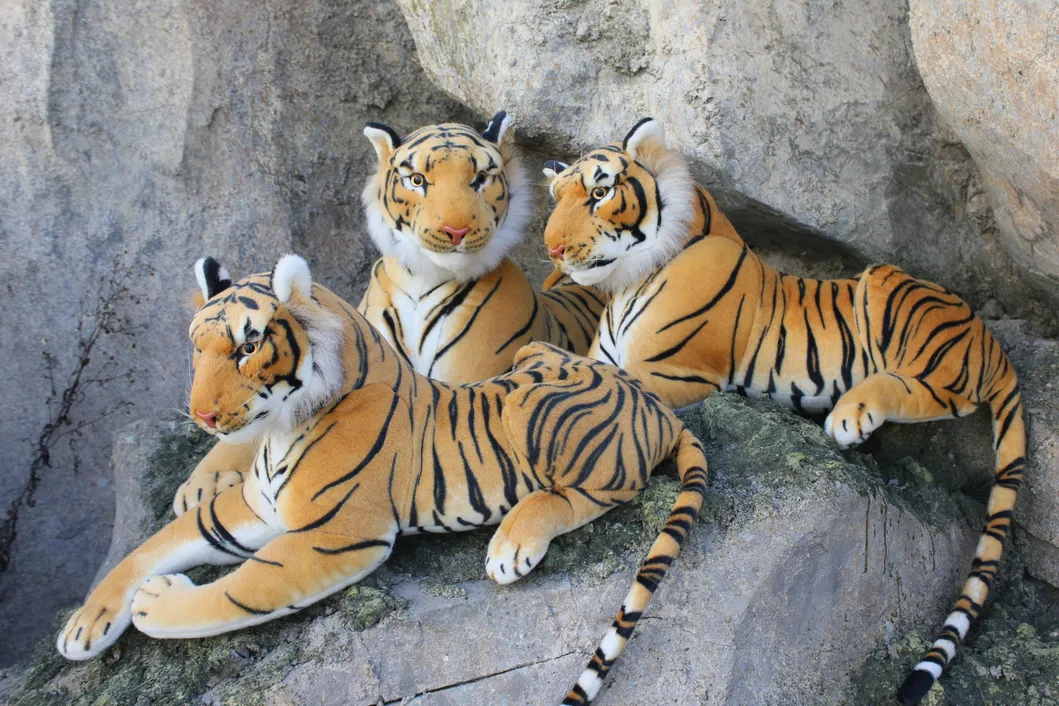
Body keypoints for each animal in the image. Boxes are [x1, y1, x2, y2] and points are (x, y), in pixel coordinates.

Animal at [56, 253, 708, 706]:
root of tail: (657, 405)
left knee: (586, 496)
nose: (202, 417)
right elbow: (154, 545)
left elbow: (235, 593)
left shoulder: (332, 538)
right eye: (197, 348)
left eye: (247, 347)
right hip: (535, 353)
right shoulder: (249, 510)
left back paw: (511, 547)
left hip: (543, 418)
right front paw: (84, 625)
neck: (280, 426)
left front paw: (157, 602)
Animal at [542, 118, 1027, 705]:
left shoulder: (672, 375)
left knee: (926, 389)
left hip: (890, 291)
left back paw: (850, 415)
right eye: (557, 198)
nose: (552, 248)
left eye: (599, 192)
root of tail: (992, 342)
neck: (625, 283)